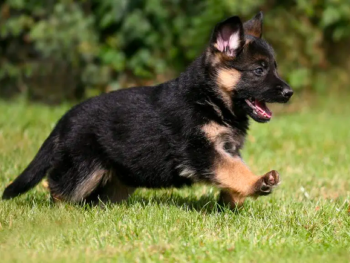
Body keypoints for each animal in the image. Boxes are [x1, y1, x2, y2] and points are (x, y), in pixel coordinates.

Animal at [2, 13, 292, 209]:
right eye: (259, 70)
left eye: (274, 67)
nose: (289, 92)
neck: (209, 99)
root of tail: (64, 120)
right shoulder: (200, 151)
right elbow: (233, 170)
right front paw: (257, 183)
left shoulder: (226, 149)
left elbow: (233, 169)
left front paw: (233, 199)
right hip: (83, 169)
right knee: (59, 188)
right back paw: (61, 212)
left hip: (118, 179)